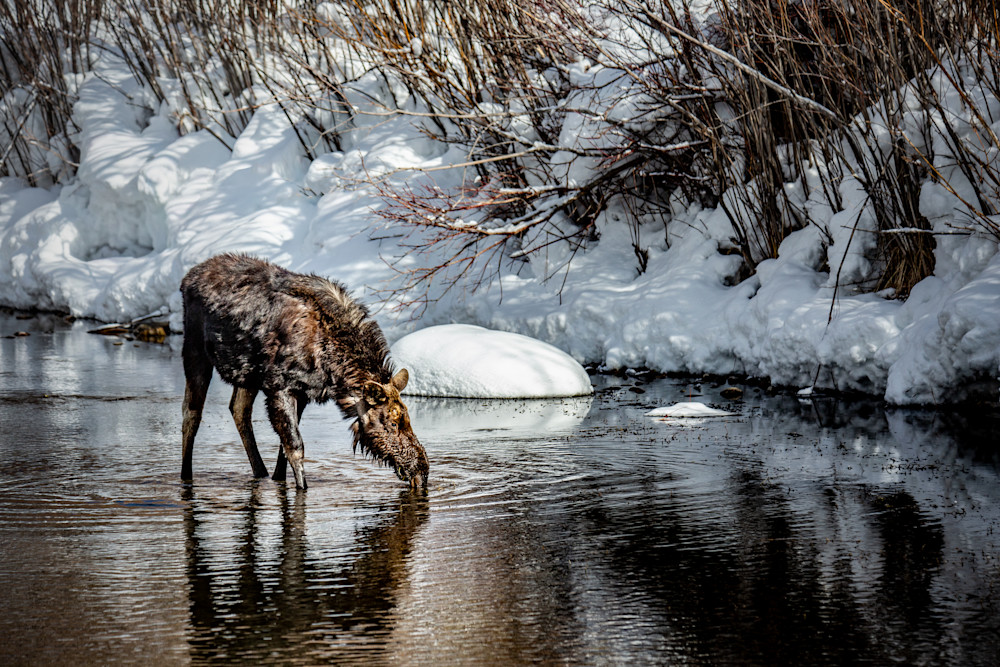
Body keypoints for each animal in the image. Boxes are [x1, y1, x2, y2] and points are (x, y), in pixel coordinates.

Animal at [179, 253, 428, 490]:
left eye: (408, 419)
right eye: (393, 423)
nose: (421, 472)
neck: (332, 367)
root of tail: (187, 279)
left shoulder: (303, 392)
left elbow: (283, 448)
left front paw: (279, 479)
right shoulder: (280, 388)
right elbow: (295, 447)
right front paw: (302, 488)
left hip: (247, 374)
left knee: (238, 409)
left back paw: (260, 473)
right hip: (194, 350)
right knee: (191, 414)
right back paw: (185, 475)